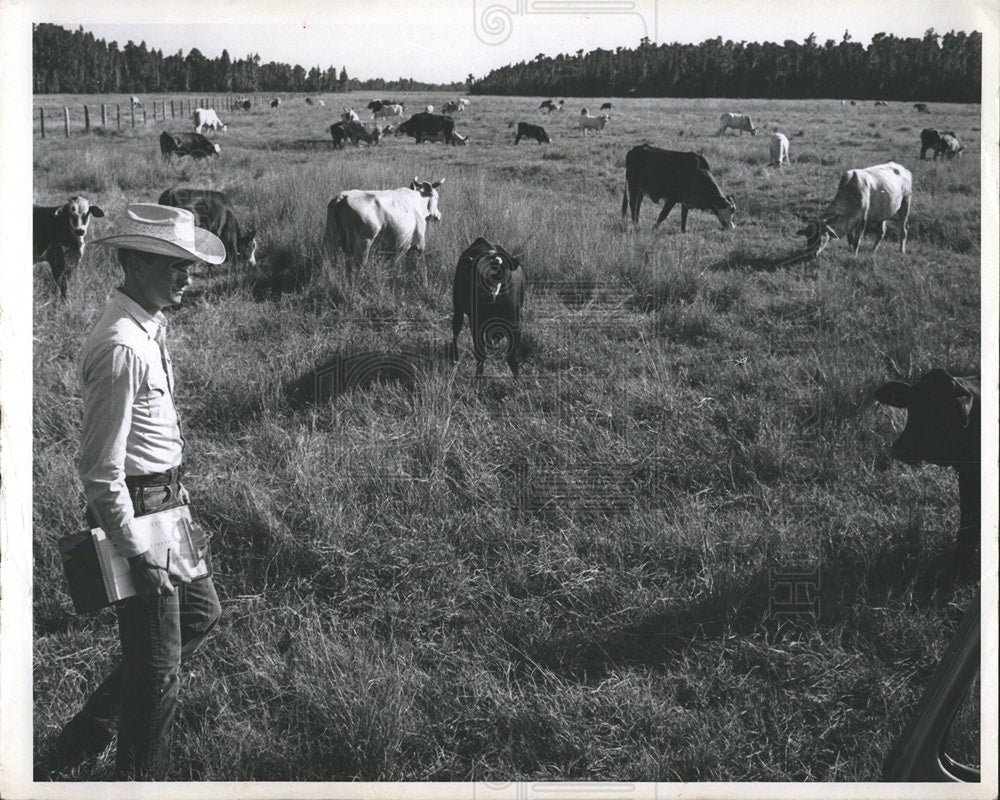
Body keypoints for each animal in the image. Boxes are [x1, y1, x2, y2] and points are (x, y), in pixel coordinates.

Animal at [454, 236, 528, 376]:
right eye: (476, 273)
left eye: (500, 272)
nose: (487, 295)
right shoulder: (476, 323)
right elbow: (480, 353)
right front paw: (478, 377)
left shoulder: (516, 324)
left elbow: (513, 358)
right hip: (457, 307)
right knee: (455, 331)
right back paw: (454, 358)